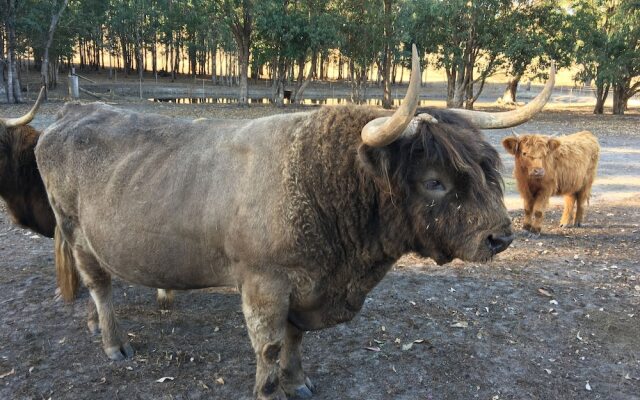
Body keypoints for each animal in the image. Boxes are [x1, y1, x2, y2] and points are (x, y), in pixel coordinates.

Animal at [36, 47, 556, 400]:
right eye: (434, 181)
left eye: (486, 169)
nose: (501, 236)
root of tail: (72, 111)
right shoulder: (264, 284)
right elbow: (267, 348)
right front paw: (271, 388)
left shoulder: (307, 287)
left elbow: (295, 339)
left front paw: (298, 380)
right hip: (76, 230)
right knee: (100, 284)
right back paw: (113, 343)